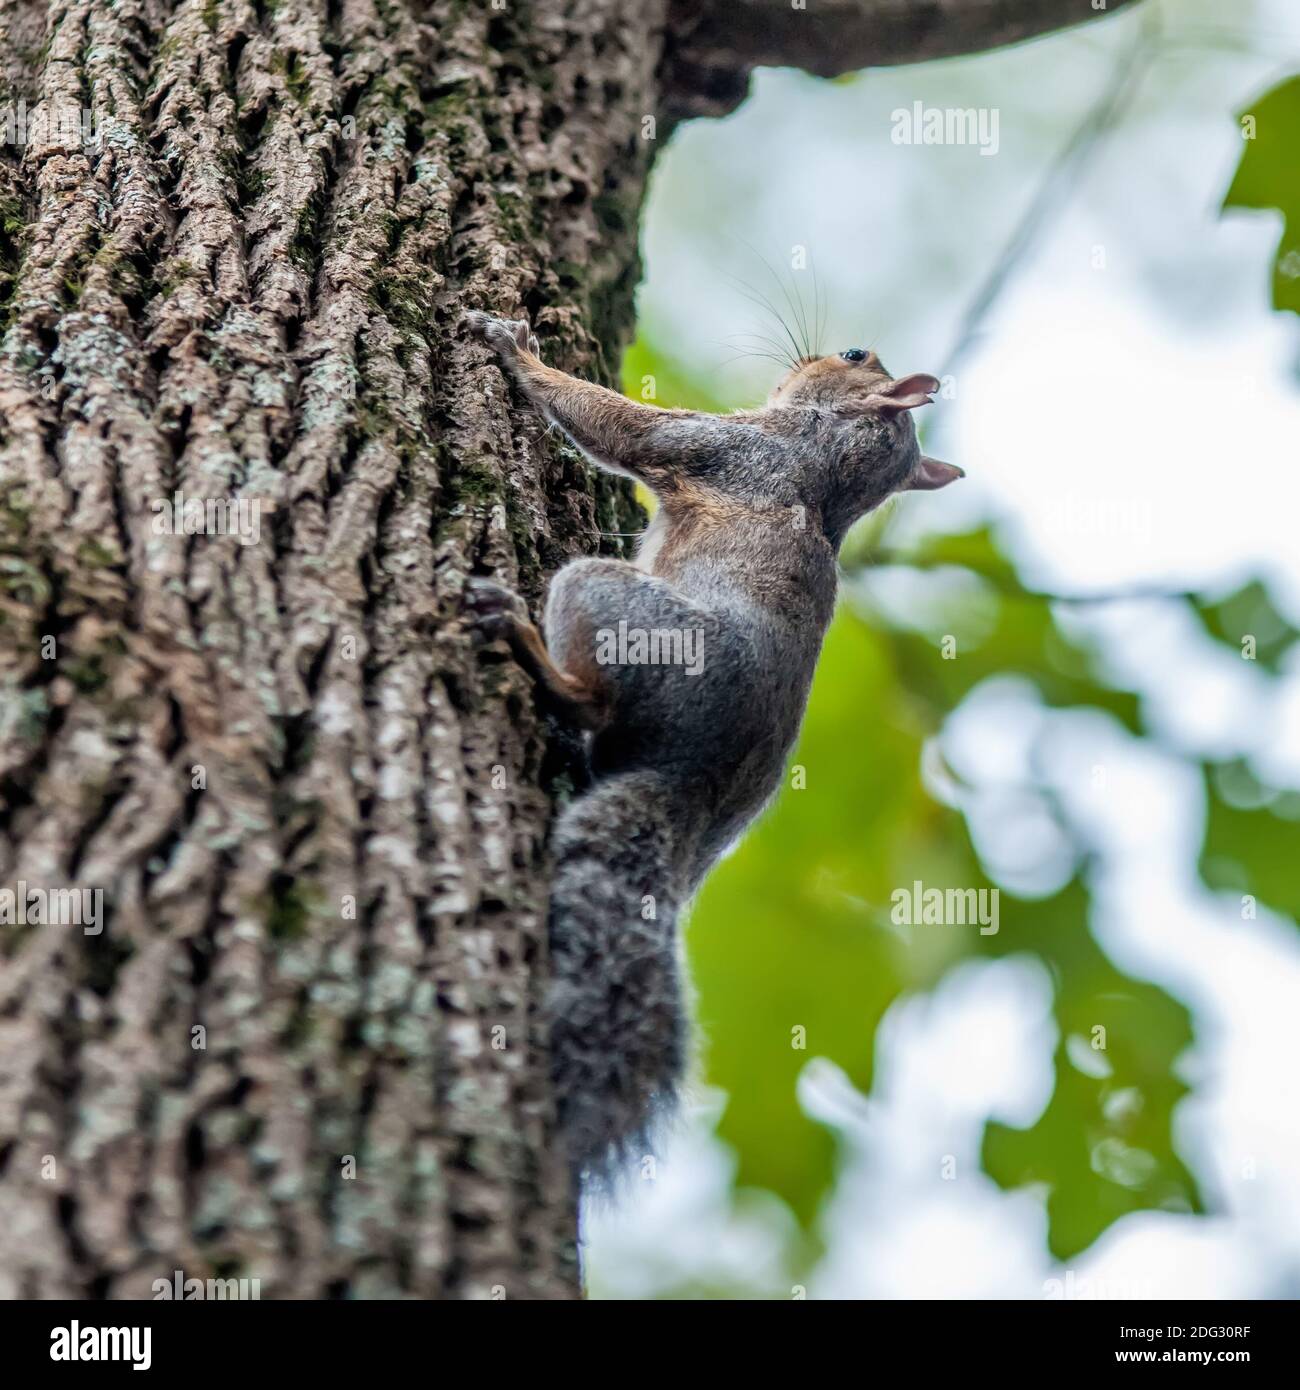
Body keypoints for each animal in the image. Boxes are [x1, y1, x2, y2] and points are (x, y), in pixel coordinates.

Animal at [461, 309, 962, 1189]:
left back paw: (523, 640)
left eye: (853, 355)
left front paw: (514, 351)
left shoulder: (725, 447)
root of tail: (689, 786)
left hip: (615, 602)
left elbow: (619, 424)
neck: (830, 460)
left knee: (592, 693)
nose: (808, 351)